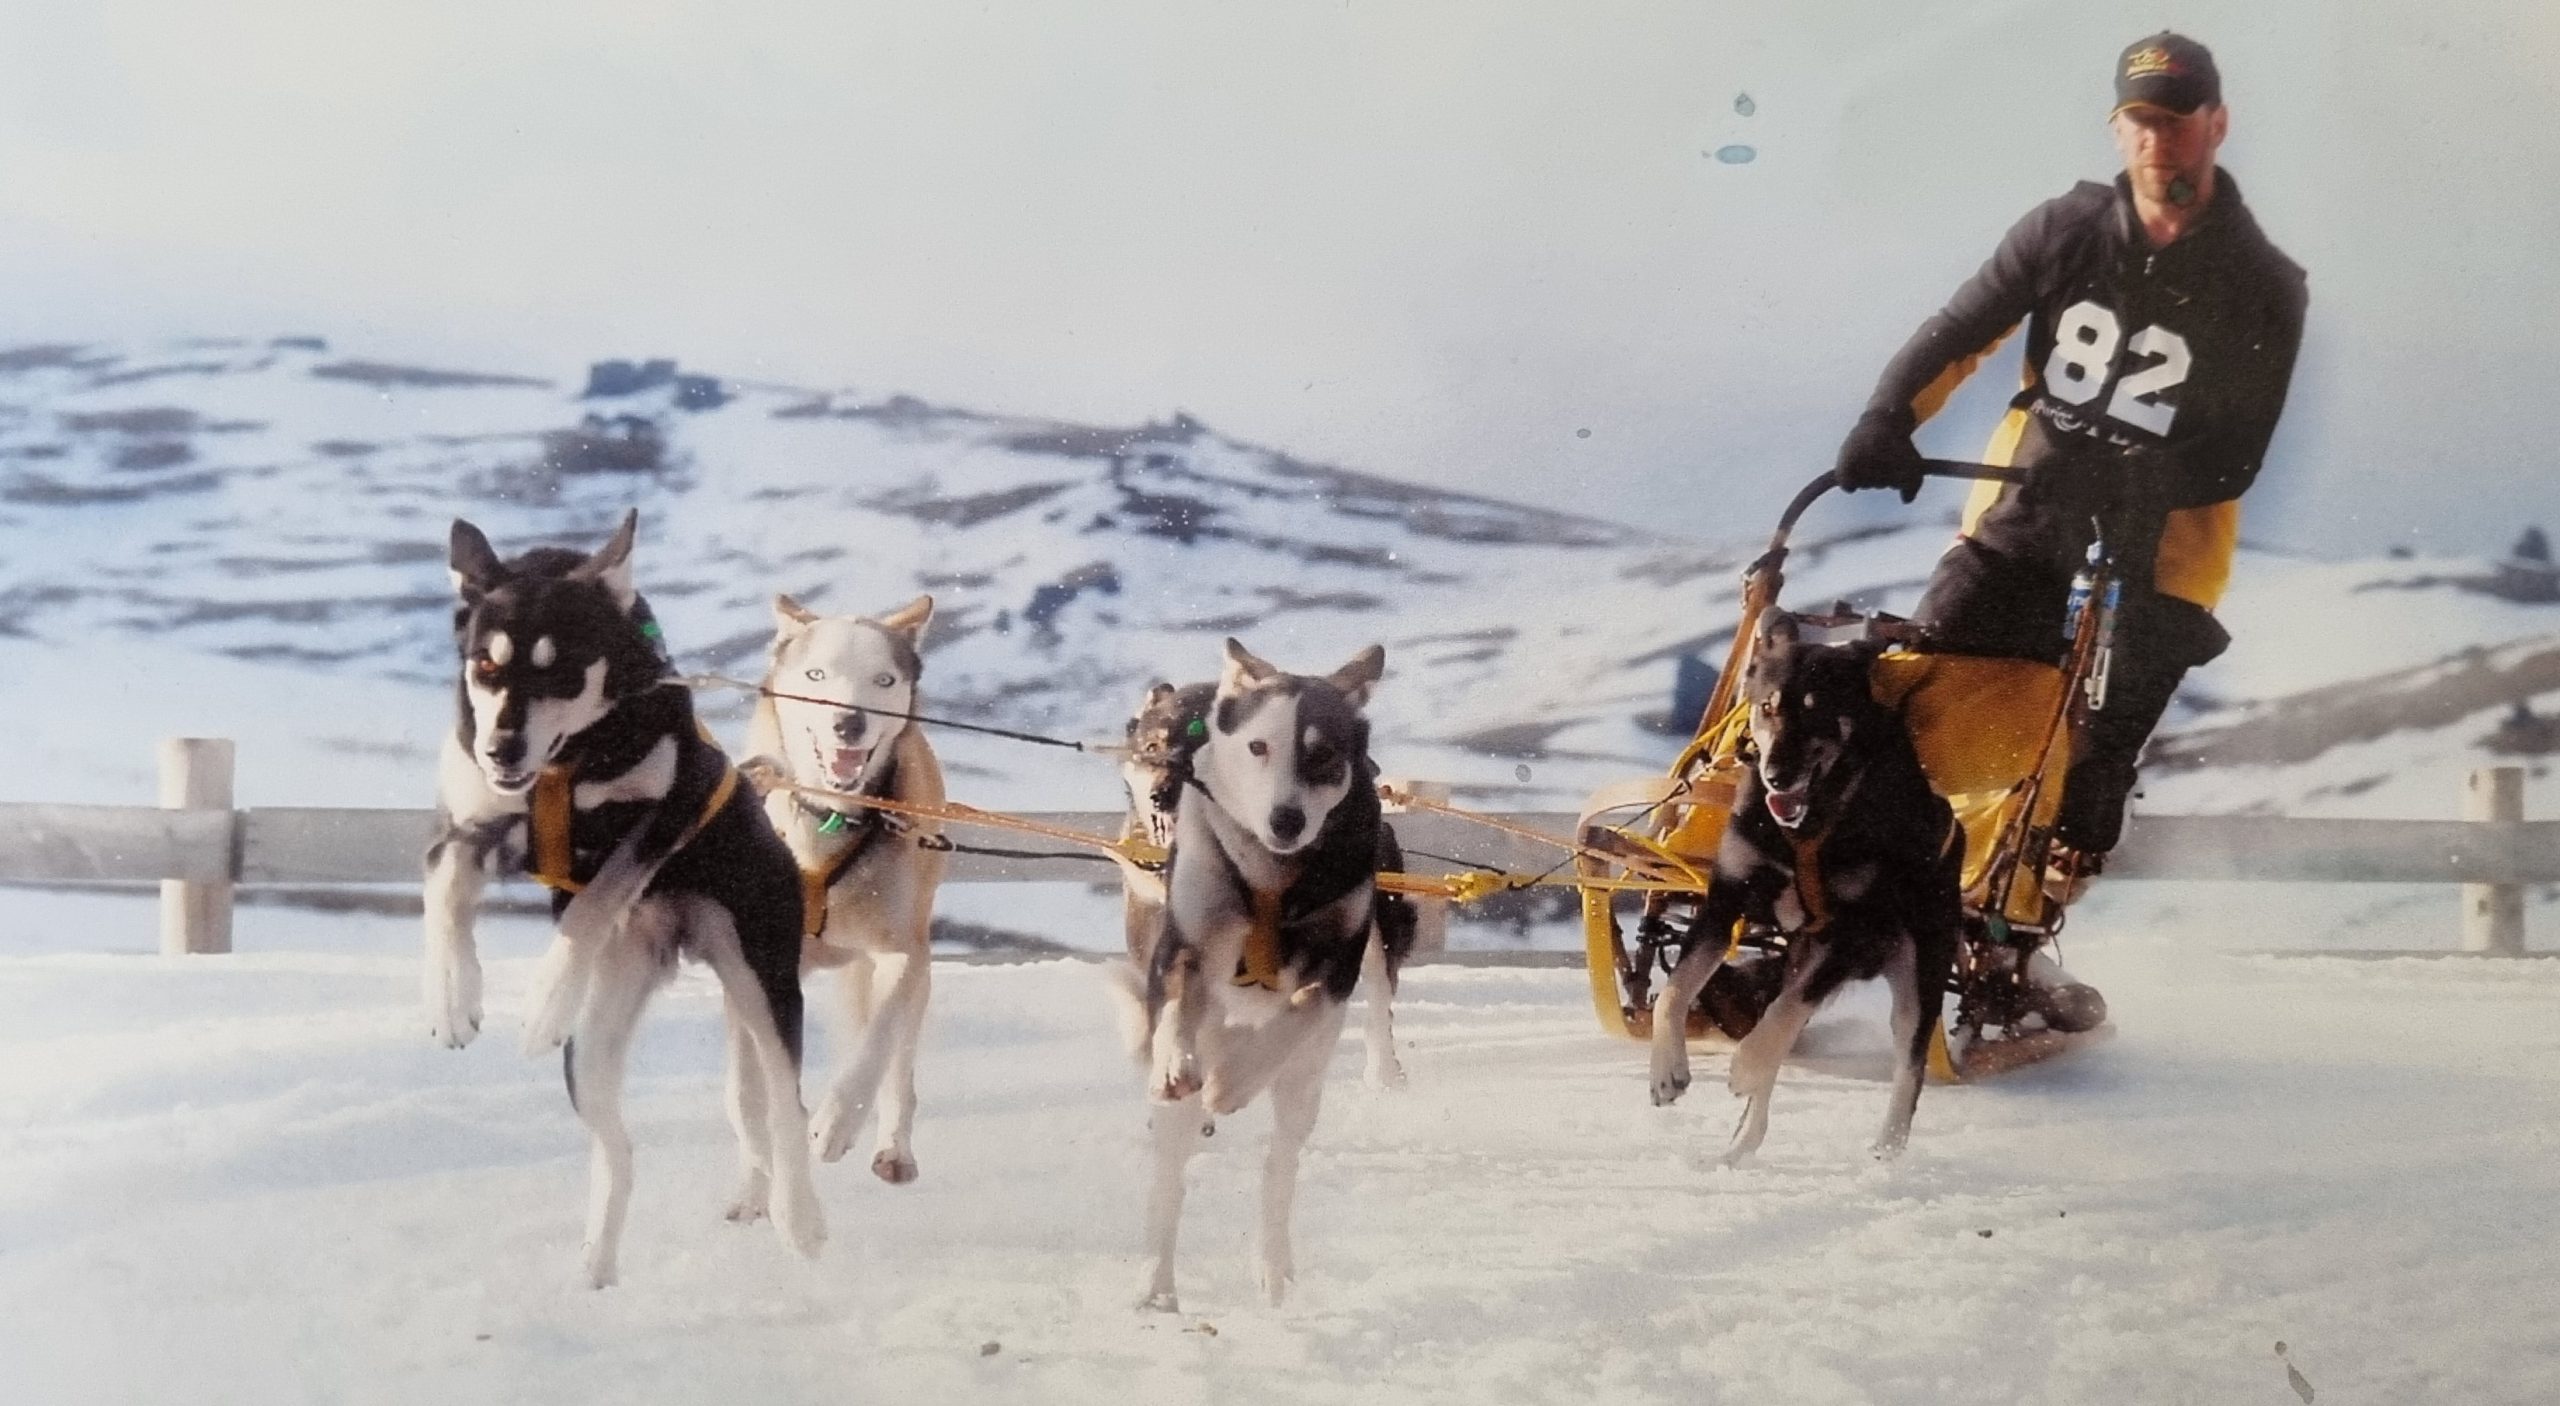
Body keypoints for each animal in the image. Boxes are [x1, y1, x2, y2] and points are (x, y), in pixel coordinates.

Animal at [419, 512, 819, 1280]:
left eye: (560, 669)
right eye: (486, 665)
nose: (502, 751)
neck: (566, 764)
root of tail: (680, 939)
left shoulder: (670, 807)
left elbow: (594, 902)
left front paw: (544, 1001)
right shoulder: (468, 826)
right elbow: (445, 896)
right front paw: (453, 999)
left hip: (760, 981)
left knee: (789, 1109)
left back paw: (798, 1220)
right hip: (594, 1045)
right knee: (620, 1149)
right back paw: (598, 1263)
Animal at [1638, 612, 1955, 1162]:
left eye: (1817, 708)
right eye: (1767, 707)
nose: (1776, 776)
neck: (1806, 831)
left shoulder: (1849, 934)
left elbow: (1782, 1016)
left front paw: (1742, 1067)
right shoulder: (1724, 903)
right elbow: (1676, 991)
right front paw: (1666, 1072)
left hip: (1917, 975)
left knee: (1906, 1065)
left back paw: (1886, 1152)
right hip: (1799, 957)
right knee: (1780, 1031)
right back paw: (1740, 1147)